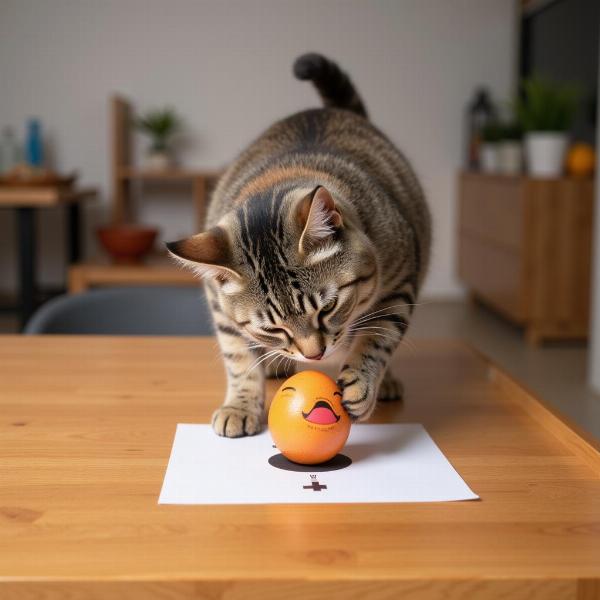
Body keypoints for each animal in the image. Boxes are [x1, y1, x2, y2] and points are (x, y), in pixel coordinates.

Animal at [168, 52, 432, 436]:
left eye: (328, 308)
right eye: (272, 328)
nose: (314, 356)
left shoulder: (400, 283)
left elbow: (379, 336)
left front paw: (362, 381)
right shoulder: (220, 307)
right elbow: (238, 355)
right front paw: (240, 405)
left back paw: (386, 381)